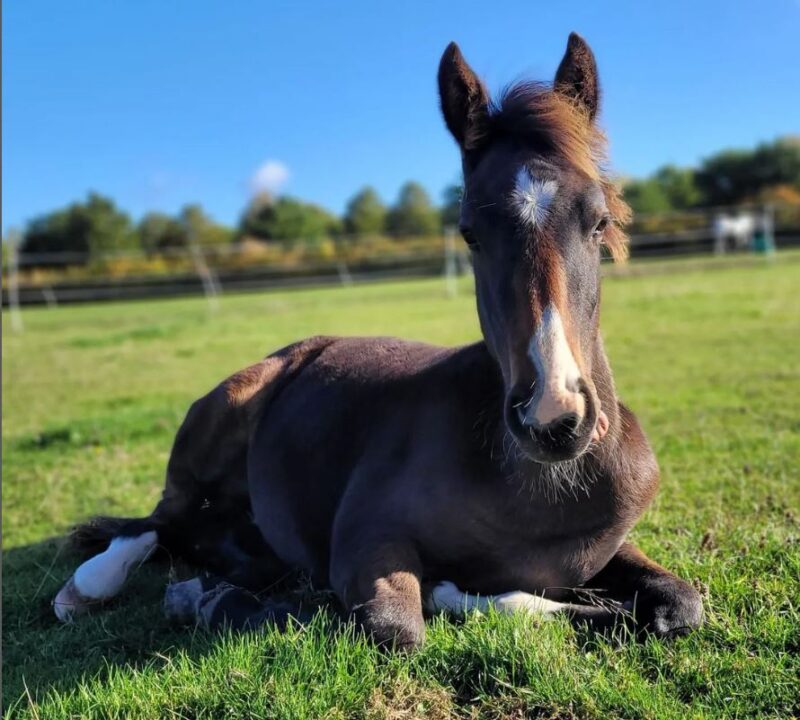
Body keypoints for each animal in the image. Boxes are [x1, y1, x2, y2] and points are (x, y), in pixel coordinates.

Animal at [54, 33, 700, 648]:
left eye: (599, 221)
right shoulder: (365, 539)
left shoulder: (612, 550)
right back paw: (91, 586)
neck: (542, 493)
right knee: (159, 517)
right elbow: (398, 625)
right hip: (221, 414)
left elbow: (680, 605)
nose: (552, 415)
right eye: (469, 232)